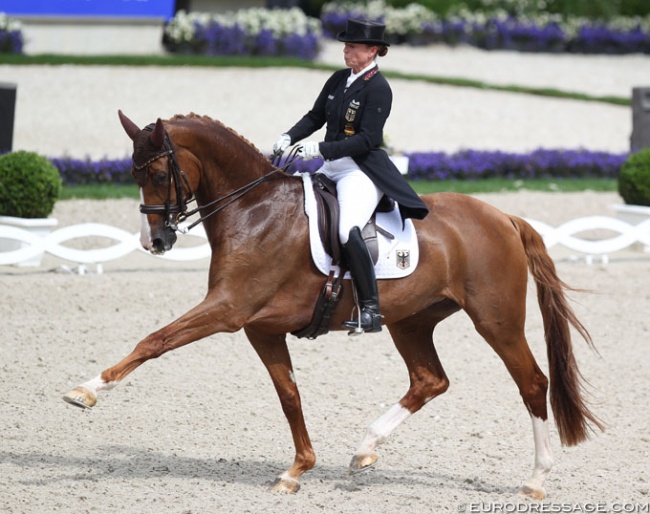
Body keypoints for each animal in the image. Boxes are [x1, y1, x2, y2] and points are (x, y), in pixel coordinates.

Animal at [63, 111, 600, 496]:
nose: (154, 241)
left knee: (532, 383)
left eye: (157, 173)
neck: (253, 211)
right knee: (430, 380)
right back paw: (364, 451)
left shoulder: (228, 310)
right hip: (411, 321)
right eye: (133, 173)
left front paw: (85, 391)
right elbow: (289, 395)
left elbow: (154, 341)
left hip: (496, 320)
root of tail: (504, 216)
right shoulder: (260, 327)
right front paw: (297, 470)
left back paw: (535, 480)